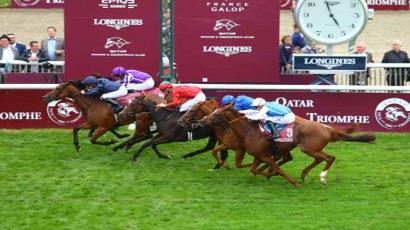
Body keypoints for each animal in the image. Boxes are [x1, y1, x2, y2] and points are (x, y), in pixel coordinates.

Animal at [200, 104, 376, 187]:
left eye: (216, 113)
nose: (202, 122)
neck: (248, 130)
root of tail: (326, 127)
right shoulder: (259, 154)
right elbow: (255, 168)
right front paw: (268, 174)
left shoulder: (263, 155)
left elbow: (276, 169)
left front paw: (291, 181)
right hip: (310, 149)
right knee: (320, 159)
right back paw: (304, 174)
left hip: (308, 148)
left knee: (329, 158)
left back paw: (322, 177)